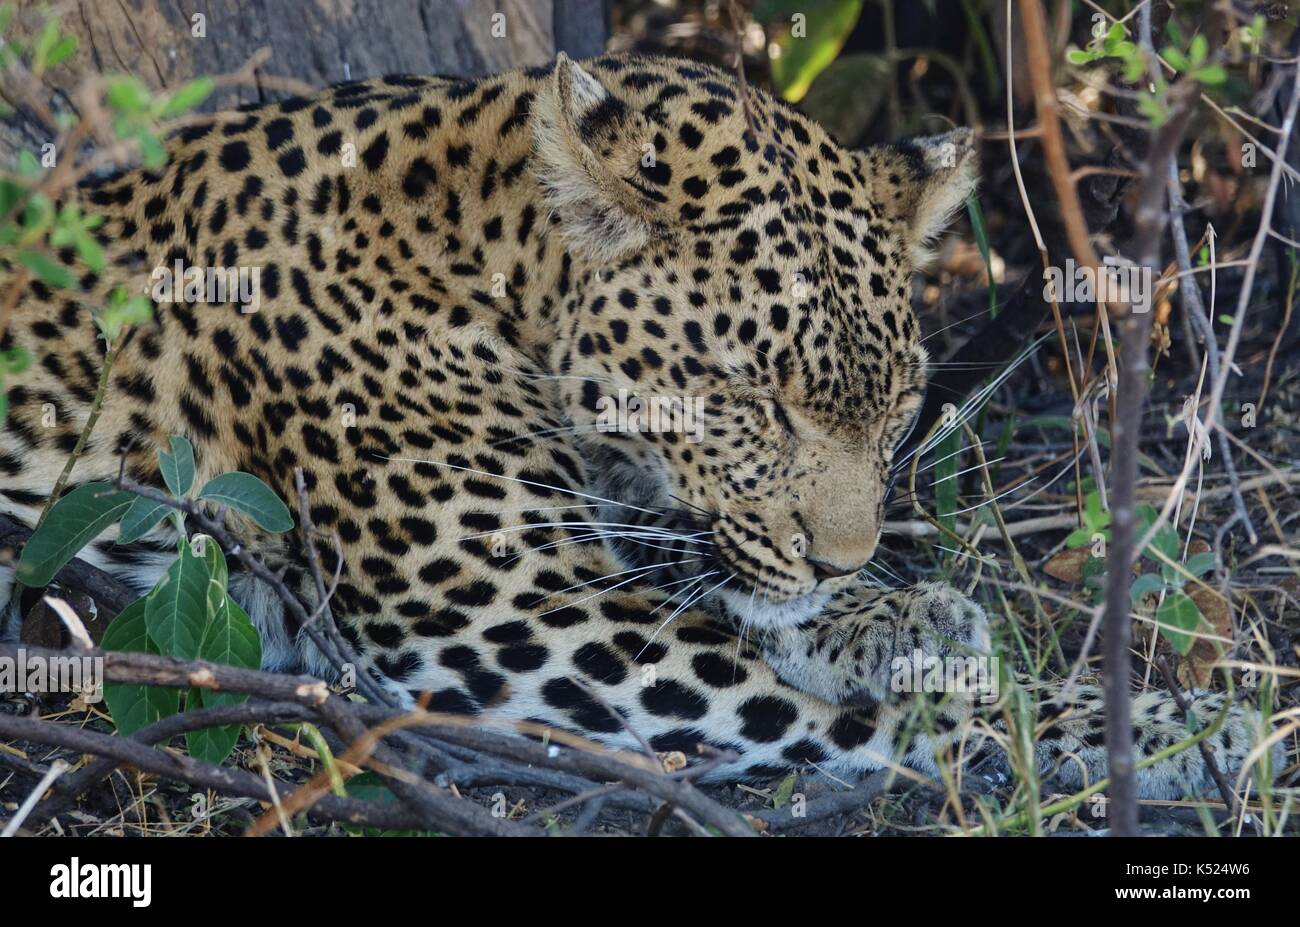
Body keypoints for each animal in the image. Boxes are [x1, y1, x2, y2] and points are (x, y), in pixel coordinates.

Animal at [0, 51, 1284, 805]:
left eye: (895, 409)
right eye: (755, 400)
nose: (845, 559)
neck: (472, 263)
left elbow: (728, 584)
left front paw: (898, 618)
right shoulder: (508, 618)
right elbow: (855, 710)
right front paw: (1185, 732)